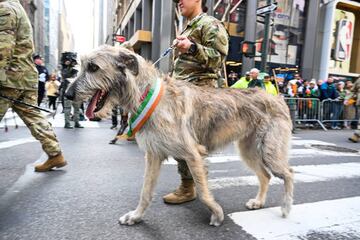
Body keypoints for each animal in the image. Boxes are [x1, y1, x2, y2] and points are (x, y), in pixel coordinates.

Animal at [66, 45, 294, 227]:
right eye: (82, 66)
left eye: (93, 67)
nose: (67, 94)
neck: (147, 94)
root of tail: (278, 98)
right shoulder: (153, 155)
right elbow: (145, 192)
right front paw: (136, 216)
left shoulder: (193, 154)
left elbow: (202, 191)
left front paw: (216, 213)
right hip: (248, 150)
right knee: (265, 175)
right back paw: (259, 202)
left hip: (270, 151)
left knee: (288, 173)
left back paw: (286, 208)